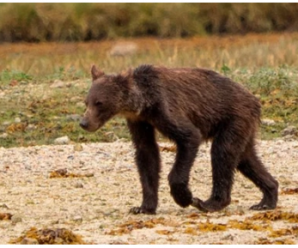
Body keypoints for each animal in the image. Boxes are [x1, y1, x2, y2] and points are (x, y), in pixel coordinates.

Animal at [80, 65, 278, 214]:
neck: (144, 103)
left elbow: (189, 137)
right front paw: (143, 207)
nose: (84, 122)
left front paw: (184, 197)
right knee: (245, 158)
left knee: (223, 152)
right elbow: (147, 153)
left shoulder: (165, 108)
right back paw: (266, 199)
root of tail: (254, 99)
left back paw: (209, 203)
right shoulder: (139, 121)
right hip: (243, 126)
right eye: (86, 102)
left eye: (99, 103)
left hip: (234, 117)